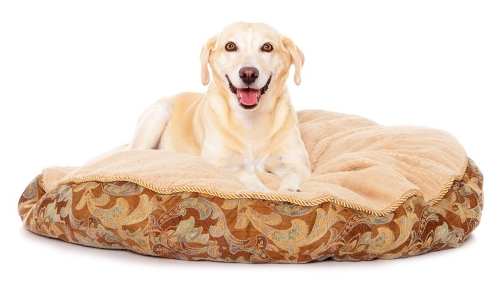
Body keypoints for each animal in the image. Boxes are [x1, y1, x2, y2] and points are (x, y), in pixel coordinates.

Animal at [127, 22, 310, 194]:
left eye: (267, 47)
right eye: (230, 46)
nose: (248, 74)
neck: (250, 118)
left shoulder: (299, 165)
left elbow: (292, 174)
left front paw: (288, 190)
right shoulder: (218, 166)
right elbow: (245, 173)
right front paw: (259, 188)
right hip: (158, 114)